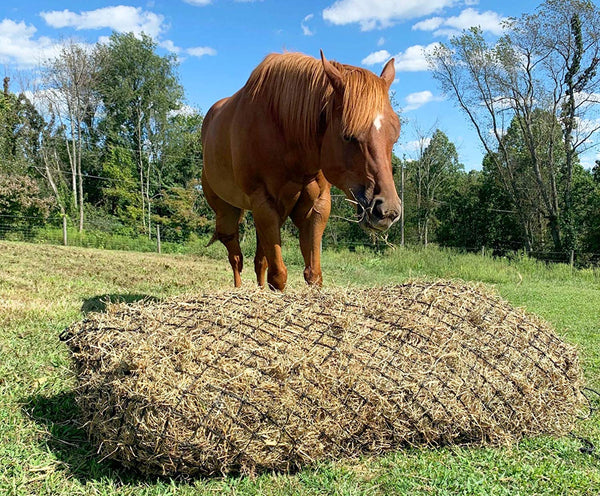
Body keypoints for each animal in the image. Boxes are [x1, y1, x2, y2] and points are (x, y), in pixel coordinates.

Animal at [203, 49, 404, 290]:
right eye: (347, 136)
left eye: (395, 135)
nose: (387, 211)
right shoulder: (264, 204)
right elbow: (278, 276)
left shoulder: (315, 207)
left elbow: (313, 274)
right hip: (228, 212)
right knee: (235, 257)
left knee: (259, 261)